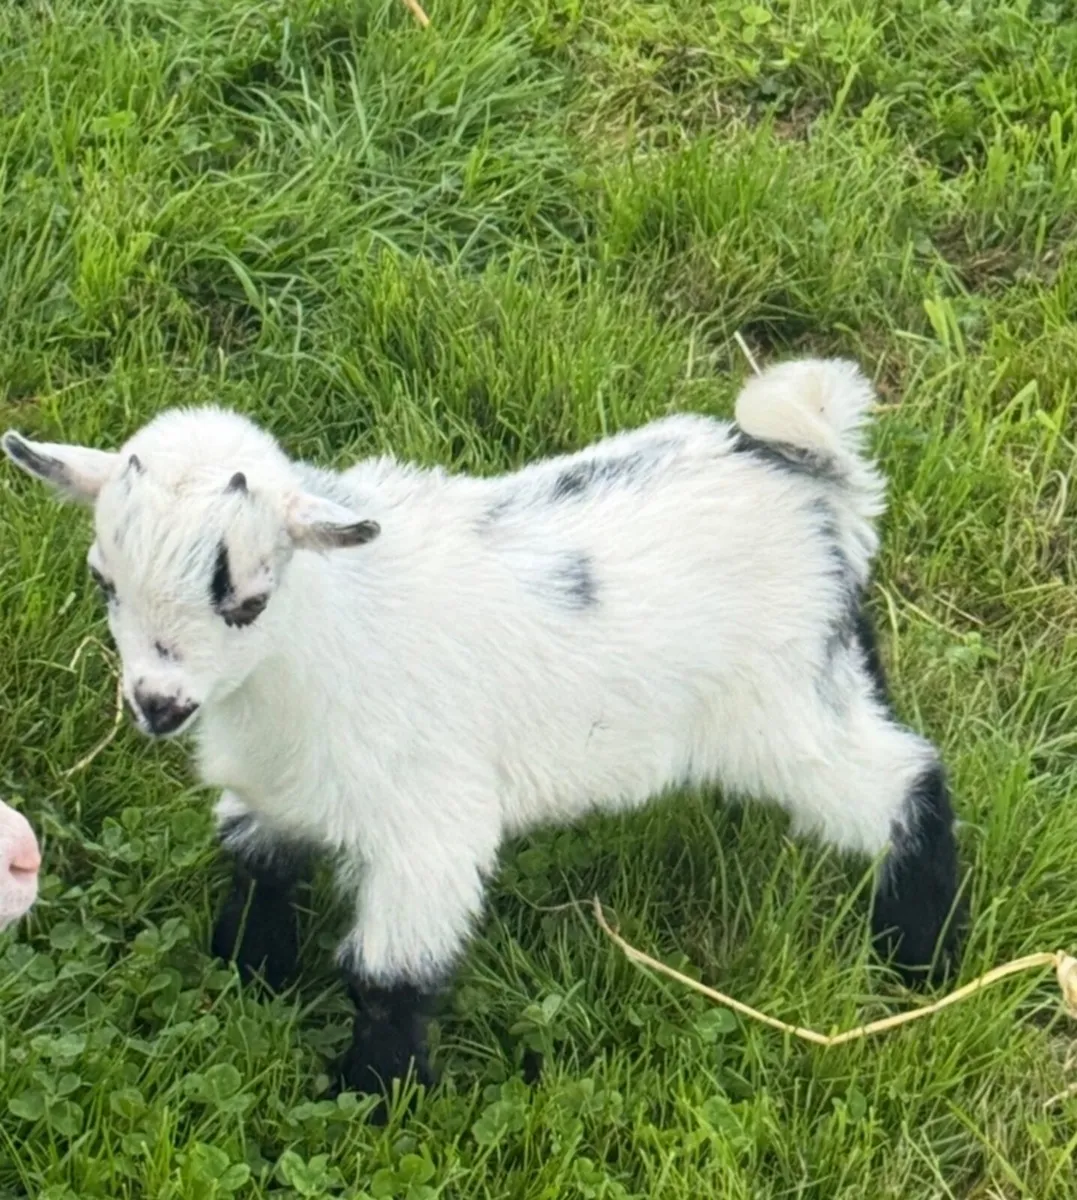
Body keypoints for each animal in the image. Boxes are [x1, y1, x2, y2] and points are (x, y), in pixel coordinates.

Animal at [3, 358, 964, 1109]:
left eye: (246, 598)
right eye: (103, 581)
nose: (156, 705)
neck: (321, 639)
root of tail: (803, 472)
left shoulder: (429, 827)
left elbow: (387, 975)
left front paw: (373, 1097)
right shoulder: (274, 791)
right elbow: (258, 873)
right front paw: (246, 977)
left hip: (777, 713)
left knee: (903, 780)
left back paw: (920, 957)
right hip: (819, 673)